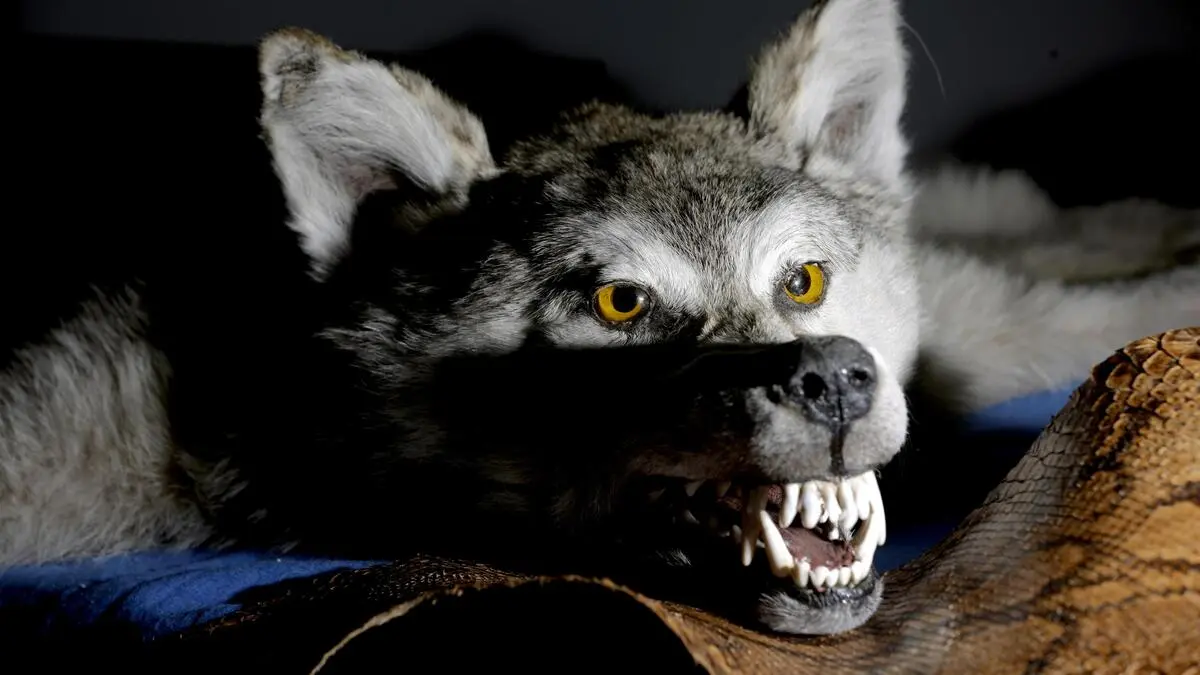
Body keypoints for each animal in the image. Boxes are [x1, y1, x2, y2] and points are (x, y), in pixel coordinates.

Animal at [2, 0, 1197, 637]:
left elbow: (1049, 305)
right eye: (621, 303)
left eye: (802, 284)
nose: (833, 376)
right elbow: (1040, 317)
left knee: (1010, 225)